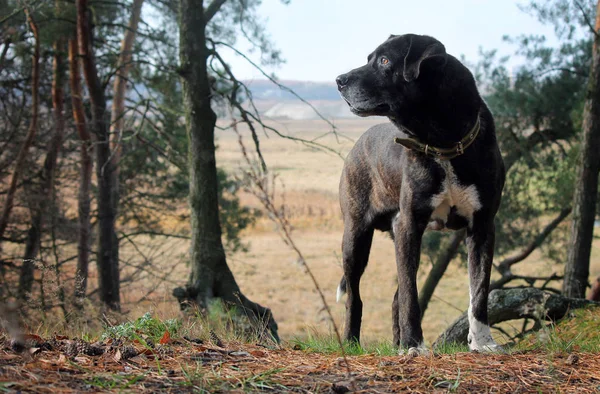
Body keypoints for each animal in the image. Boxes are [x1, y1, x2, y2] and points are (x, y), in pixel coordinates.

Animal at [336, 33, 504, 354]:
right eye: (369, 58)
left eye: (384, 60)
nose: (339, 80)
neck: (443, 142)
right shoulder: (410, 223)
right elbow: (411, 298)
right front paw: (414, 345)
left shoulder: (482, 226)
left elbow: (479, 291)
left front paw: (483, 342)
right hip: (355, 236)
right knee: (355, 296)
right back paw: (352, 342)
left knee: (396, 296)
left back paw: (396, 344)